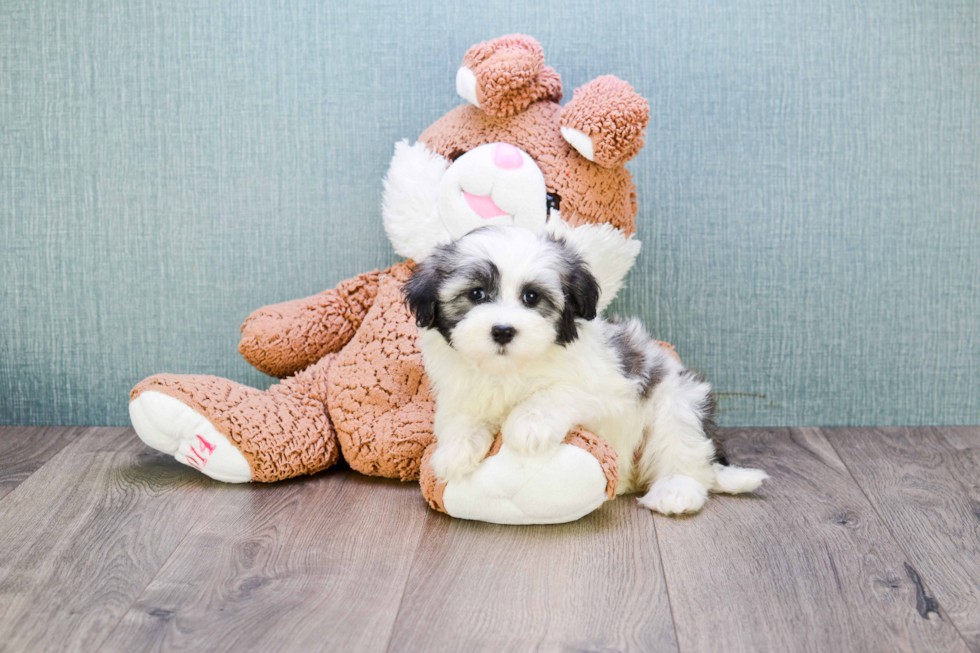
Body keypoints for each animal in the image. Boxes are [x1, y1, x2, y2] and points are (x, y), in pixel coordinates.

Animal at [402, 224, 768, 516]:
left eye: (532, 297)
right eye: (476, 294)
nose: (503, 330)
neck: (511, 370)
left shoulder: (611, 385)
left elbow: (559, 392)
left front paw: (528, 424)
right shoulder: (463, 390)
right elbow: (461, 417)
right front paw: (454, 452)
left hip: (677, 400)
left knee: (684, 449)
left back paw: (676, 491)